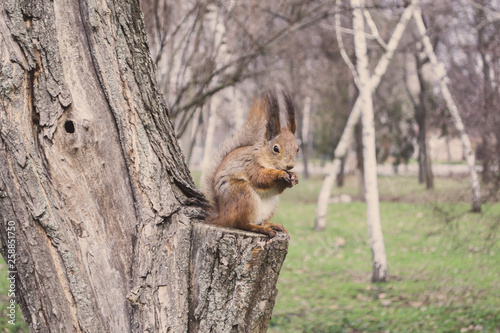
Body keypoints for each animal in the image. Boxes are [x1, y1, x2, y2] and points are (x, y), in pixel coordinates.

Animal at [201, 90, 298, 236]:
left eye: (298, 149)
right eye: (276, 149)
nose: (290, 166)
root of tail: (222, 215)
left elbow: (277, 188)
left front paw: (294, 176)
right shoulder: (251, 165)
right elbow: (260, 178)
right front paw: (280, 174)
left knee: (259, 220)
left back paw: (272, 225)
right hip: (242, 194)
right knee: (241, 224)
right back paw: (261, 229)